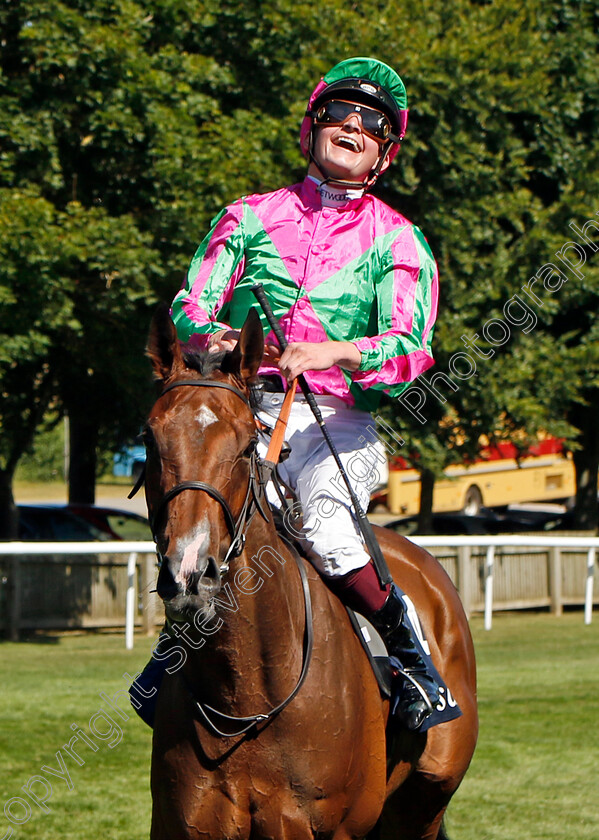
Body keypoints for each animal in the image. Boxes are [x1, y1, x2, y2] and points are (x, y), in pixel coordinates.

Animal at [142, 306, 478, 840]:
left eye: (247, 444)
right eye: (150, 440)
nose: (191, 573)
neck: (246, 696)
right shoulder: (182, 823)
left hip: (424, 803)